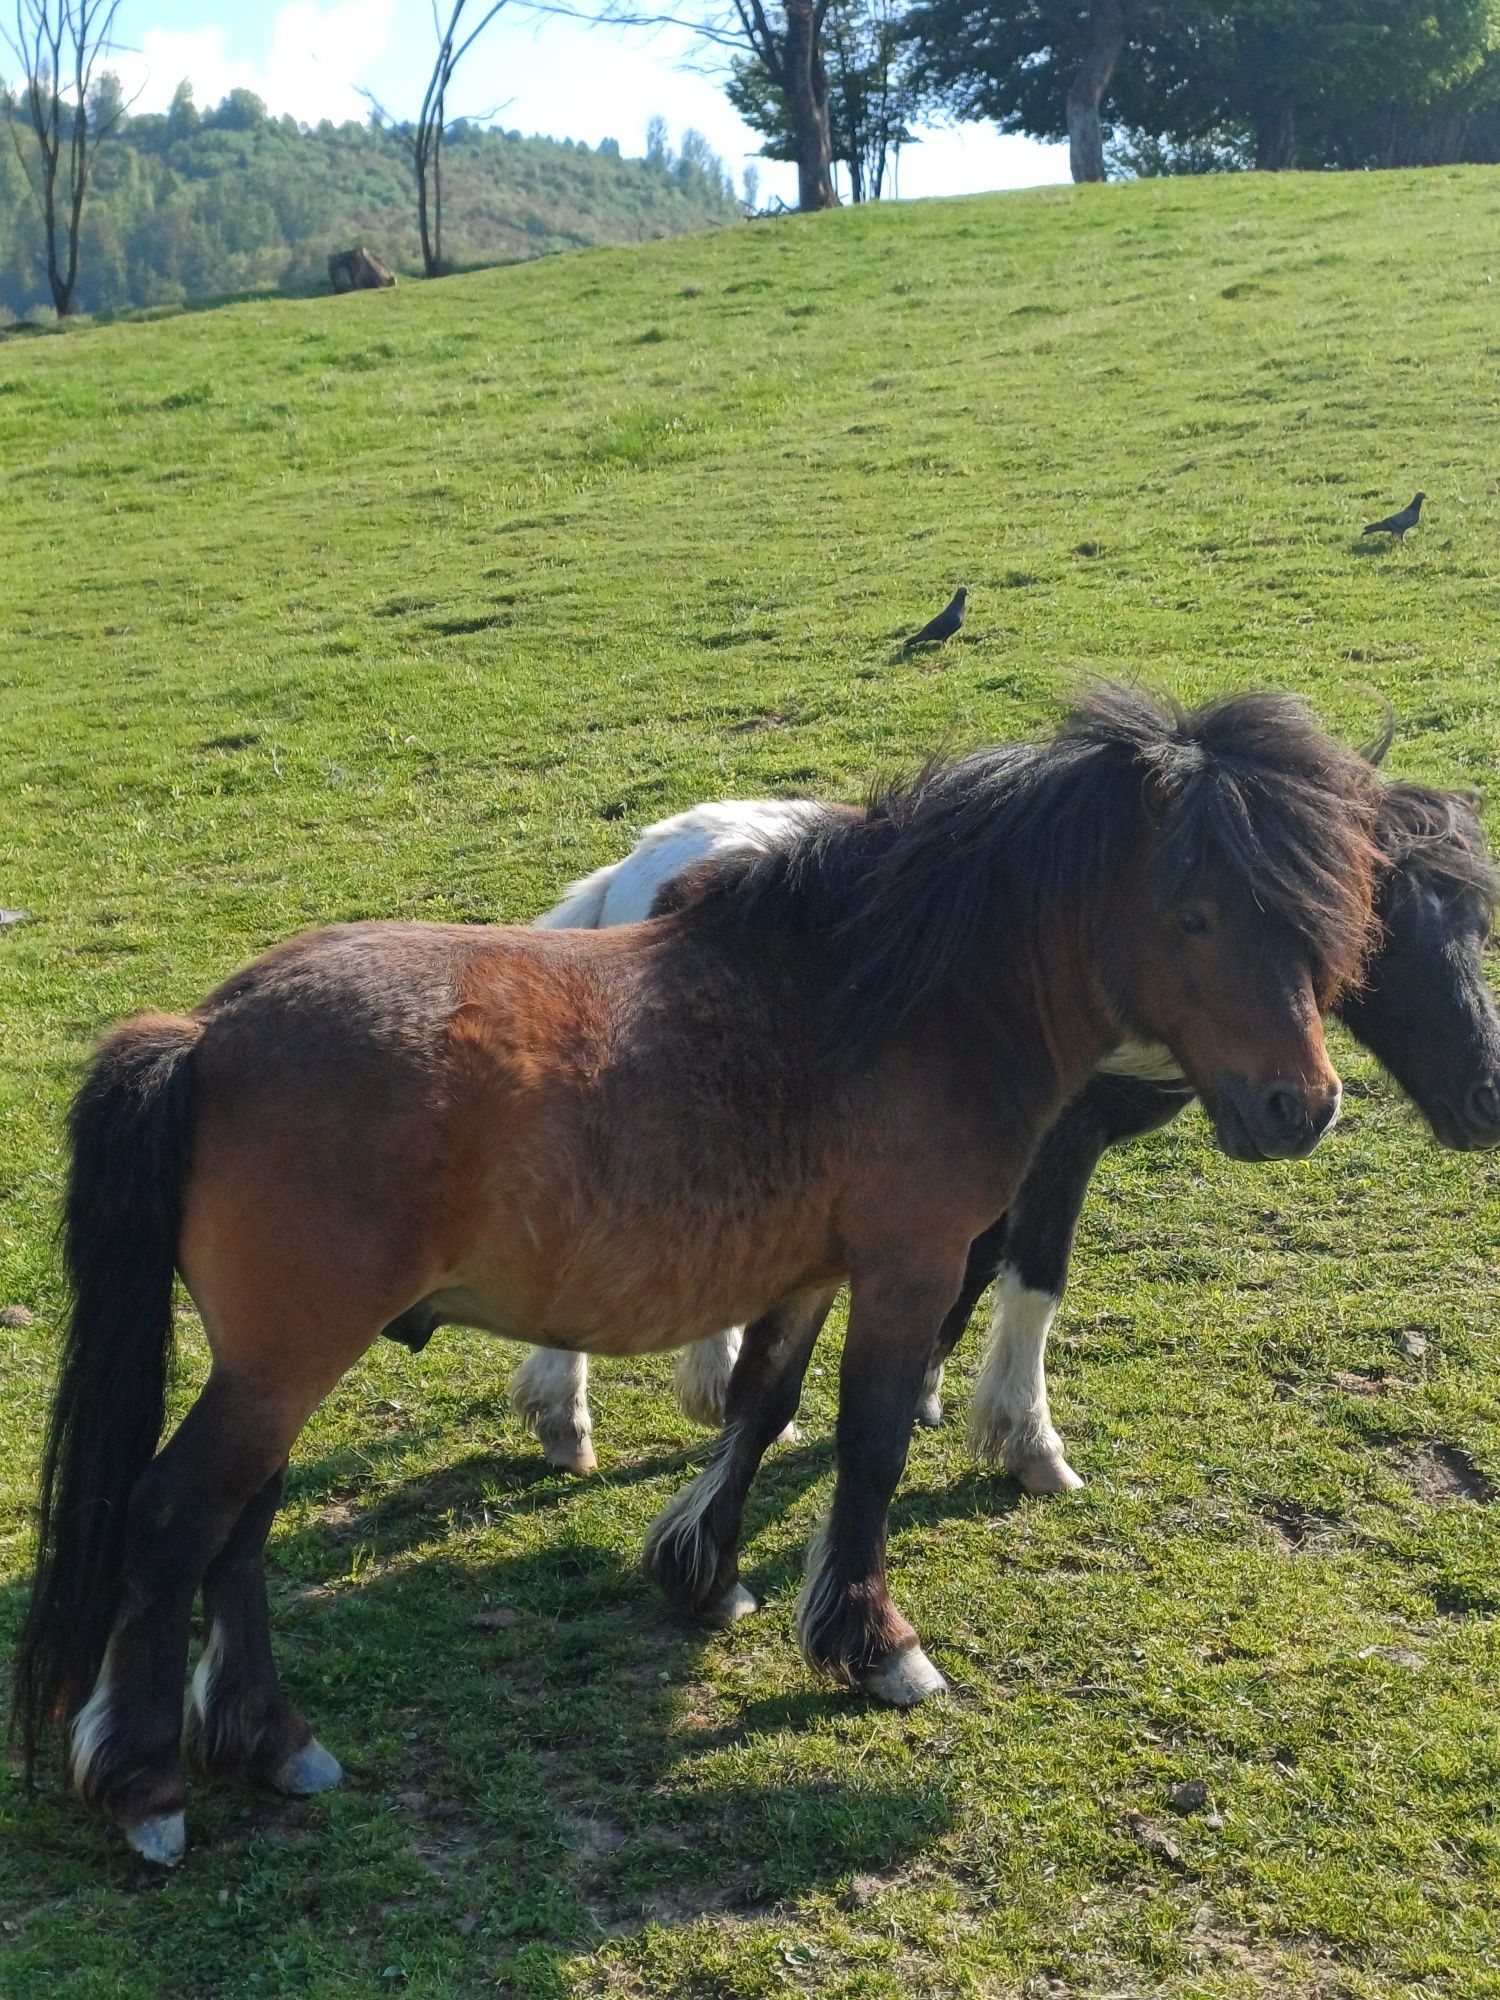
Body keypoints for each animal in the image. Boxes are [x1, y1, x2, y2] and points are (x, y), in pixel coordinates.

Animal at [14, 688, 1384, 1856]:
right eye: (1196, 914)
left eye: (1329, 914)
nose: (1301, 1107)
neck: (891, 999)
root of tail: (207, 1032)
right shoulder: (907, 1265)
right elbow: (870, 1442)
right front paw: (874, 1645)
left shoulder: (809, 1267)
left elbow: (760, 1406)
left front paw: (703, 1573)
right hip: (288, 1354)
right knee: (177, 1514)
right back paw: (147, 1783)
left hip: (280, 1359)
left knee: (239, 1523)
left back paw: (270, 1738)